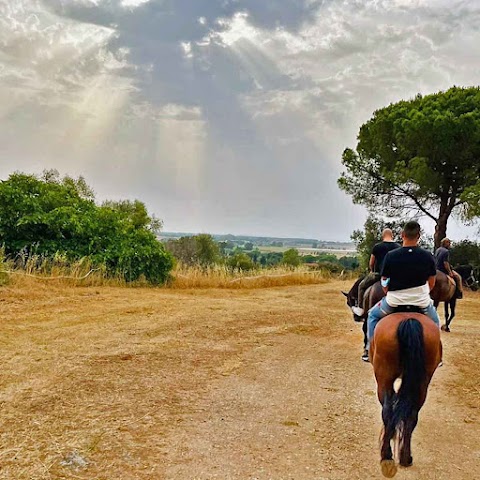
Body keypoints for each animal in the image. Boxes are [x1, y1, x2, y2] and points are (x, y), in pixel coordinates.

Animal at [372, 312, 442, 476]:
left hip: (383, 377)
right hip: (422, 382)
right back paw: (405, 457)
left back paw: (386, 455)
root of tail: (409, 320)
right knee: (412, 415)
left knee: (387, 411)